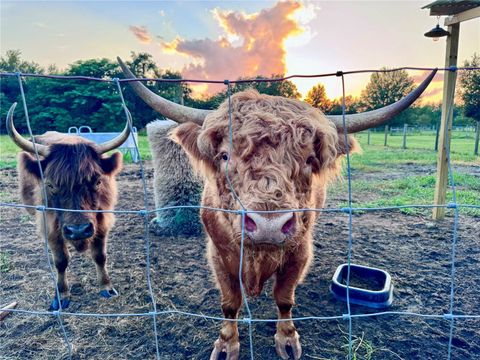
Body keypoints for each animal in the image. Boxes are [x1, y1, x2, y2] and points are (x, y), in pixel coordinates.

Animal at [6, 103, 129, 310]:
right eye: (50, 185)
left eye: (97, 181)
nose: (78, 230)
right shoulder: (50, 227)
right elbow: (61, 261)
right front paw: (61, 295)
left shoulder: (102, 222)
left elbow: (100, 256)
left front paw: (106, 287)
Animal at [119, 57, 436, 358]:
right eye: (225, 156)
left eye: (309, 159)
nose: (268, 225)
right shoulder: (218, 255)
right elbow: (230, 303)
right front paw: (226, 345)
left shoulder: (299, 252)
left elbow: (284, 298)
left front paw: (287, 340)